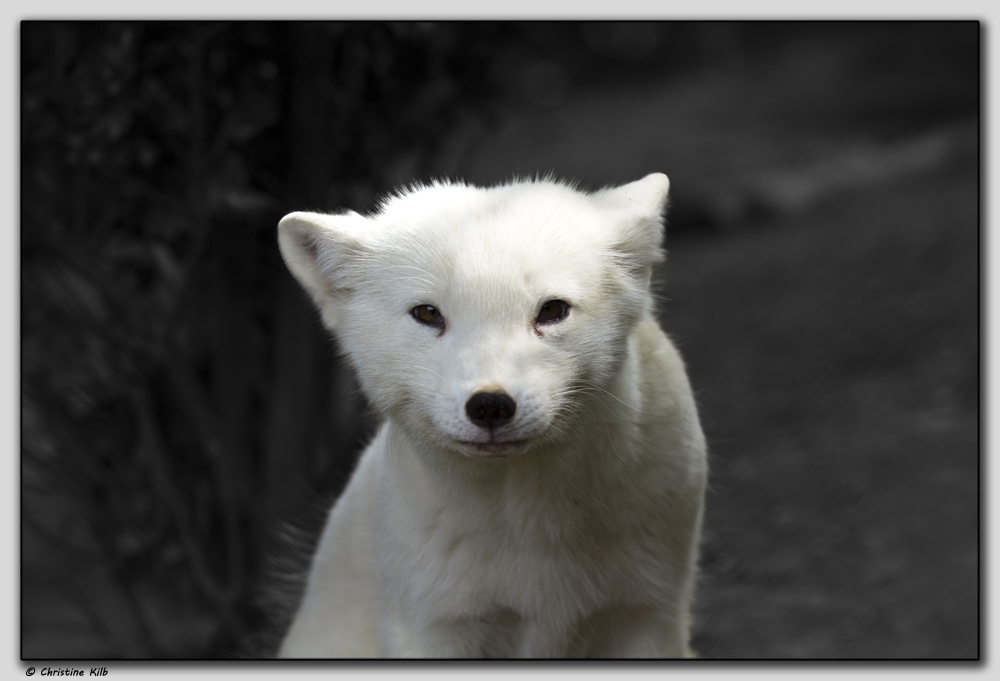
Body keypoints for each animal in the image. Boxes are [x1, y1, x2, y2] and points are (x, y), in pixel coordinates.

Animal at [278, 173, 708, 656]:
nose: (489, 406)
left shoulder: (650, 616)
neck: (532, 532)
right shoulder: (434, 628)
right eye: (427, 314)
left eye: (552, 310)